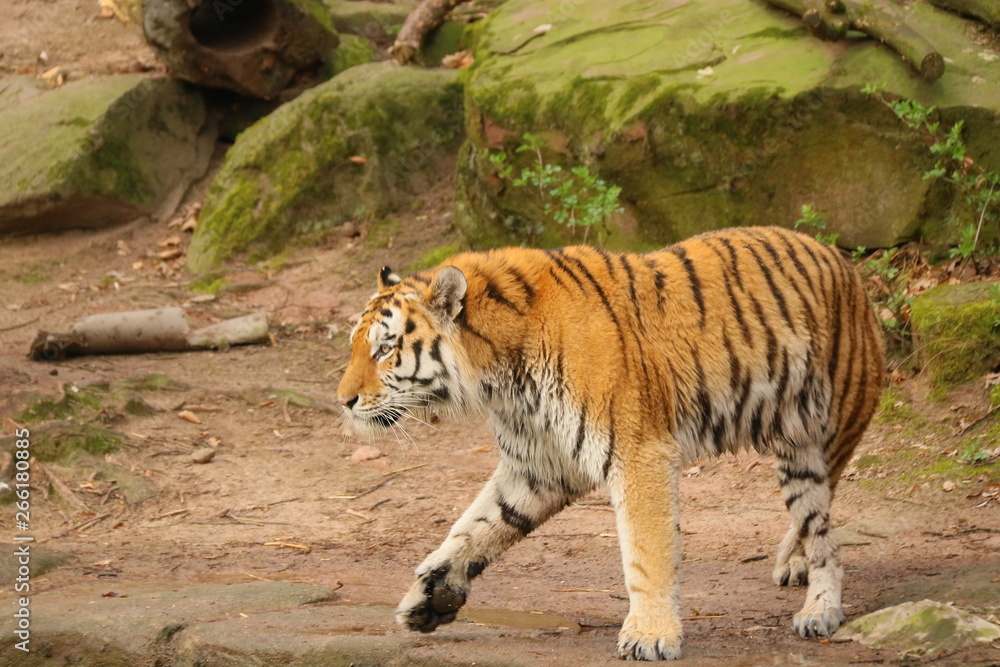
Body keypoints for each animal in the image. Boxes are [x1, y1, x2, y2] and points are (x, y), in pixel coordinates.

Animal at [336, 225, 885, 661]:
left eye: (385, 350)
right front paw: (429, 598)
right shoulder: (537, 467)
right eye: (356, 347)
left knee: (825, 538)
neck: (499, 376)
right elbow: (475, 528)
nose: (343, 401)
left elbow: (646, 552)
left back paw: (819, 609)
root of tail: (844, 262)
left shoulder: (639, 452)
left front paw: (650, 636)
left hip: (820, 437)